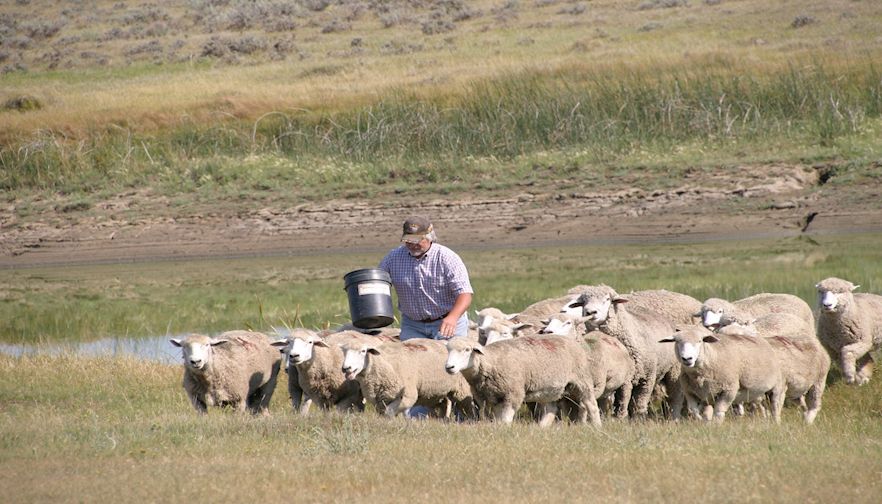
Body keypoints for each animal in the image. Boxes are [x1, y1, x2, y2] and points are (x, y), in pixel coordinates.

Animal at [340, 338, 476, 420]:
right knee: (445, 405)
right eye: (344, 352)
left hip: (462, 389)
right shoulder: (380, 401)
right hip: (437, 393)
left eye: (363, 351)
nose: (346, 368)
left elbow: (389, 412)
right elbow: (385, 414)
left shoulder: (408, 396)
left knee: (469, 407)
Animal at [444, 335, 602, 427]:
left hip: (581, 379)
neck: (491, 362)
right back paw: (541, 428)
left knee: (591, 404)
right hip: (549, 388)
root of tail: (571, 340)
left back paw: (597, 426)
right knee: (551, 409)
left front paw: (504, 430)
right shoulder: (492, 397)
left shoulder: (513, 392)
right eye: (448, 350)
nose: (449, 367)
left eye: (467, 350)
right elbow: (497, 418)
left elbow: (506, 418)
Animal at [568, 284, 683, 419]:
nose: (590, 312)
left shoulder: (647, 377)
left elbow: (638, 402)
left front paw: (637, 418)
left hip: (673, 371)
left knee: (675, 395)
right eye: (583, 302)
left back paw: (673, 416)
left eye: (607, 299)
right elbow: (619, 401)